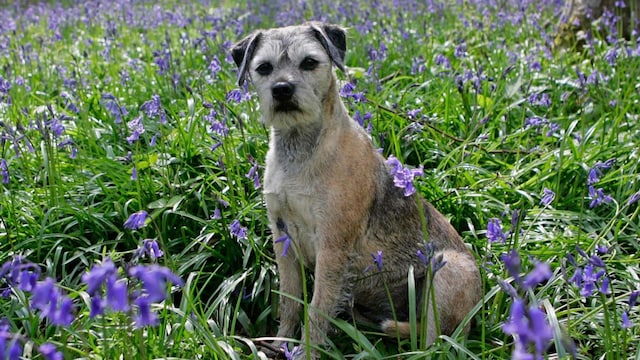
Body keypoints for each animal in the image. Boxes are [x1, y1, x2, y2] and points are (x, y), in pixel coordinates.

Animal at [231, 23, 480, 360]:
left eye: (309, 62)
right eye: (264, 68)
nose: (282, 89)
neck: (301, 150)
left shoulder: (332, 247)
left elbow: (317, 308)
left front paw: (306, 352)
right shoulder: (283, 238)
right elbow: (290, 301)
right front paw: (281, 343)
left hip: (446, 274)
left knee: (435, 342)